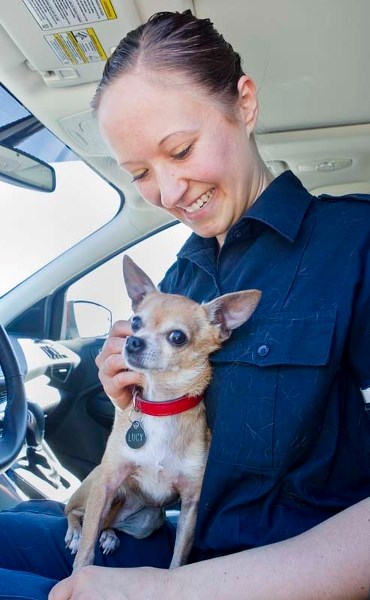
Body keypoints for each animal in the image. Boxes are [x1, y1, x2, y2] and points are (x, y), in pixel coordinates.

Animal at [65, 254, 260, 572]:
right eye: (135, 322)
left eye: (177, 337)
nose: (133, 341)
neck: (160, 405)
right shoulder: (108, 482)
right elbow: (85, 553)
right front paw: (78, 572)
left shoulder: (191, 504)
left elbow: (178, 559)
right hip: (97, 485)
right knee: (75, 511)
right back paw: (75, 531)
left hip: (146, 521)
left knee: (106, 522)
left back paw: (109, 535)